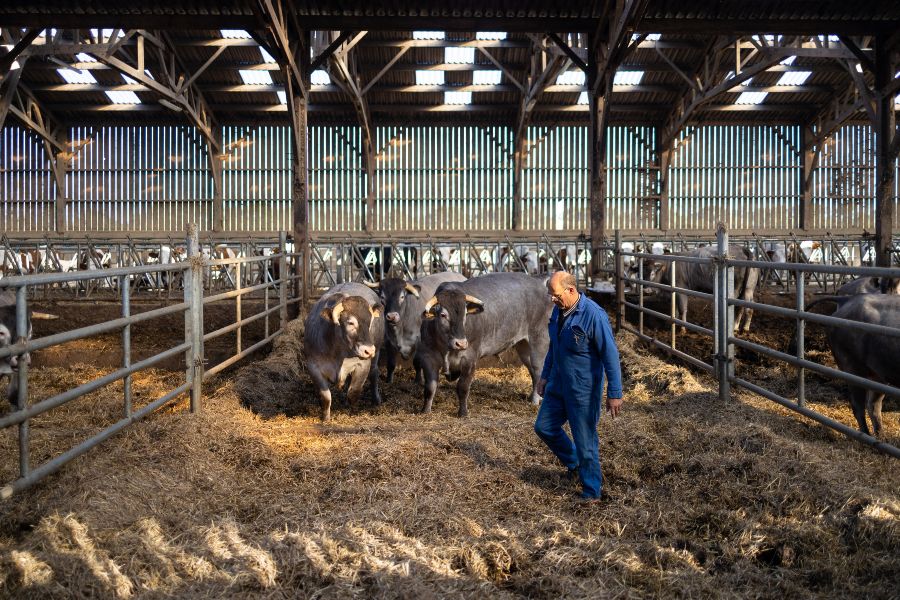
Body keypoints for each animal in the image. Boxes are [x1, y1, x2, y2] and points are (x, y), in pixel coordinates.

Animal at [304, 282, 384, 420]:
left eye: (370, 322)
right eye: (350, 323)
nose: (368, 350)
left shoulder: (362, 365)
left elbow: (354, 392)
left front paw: (353, 412)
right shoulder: (313, 367)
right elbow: (325, 396)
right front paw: (325, 418)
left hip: (376, 354)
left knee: (374, 373)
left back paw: (376, 399)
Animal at [416, 274, 556, 418]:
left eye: (465, 315)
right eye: (443, 315)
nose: (461, 343)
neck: (447, 348)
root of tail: (539, 281)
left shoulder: (470, 359)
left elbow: (463, 387)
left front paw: (463, 412)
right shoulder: (428, 358)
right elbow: (430, 387)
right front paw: (425, 410)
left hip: (540, 341)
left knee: (538, 370)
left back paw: (536, 400)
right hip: (523, 346)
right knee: (532, 371)